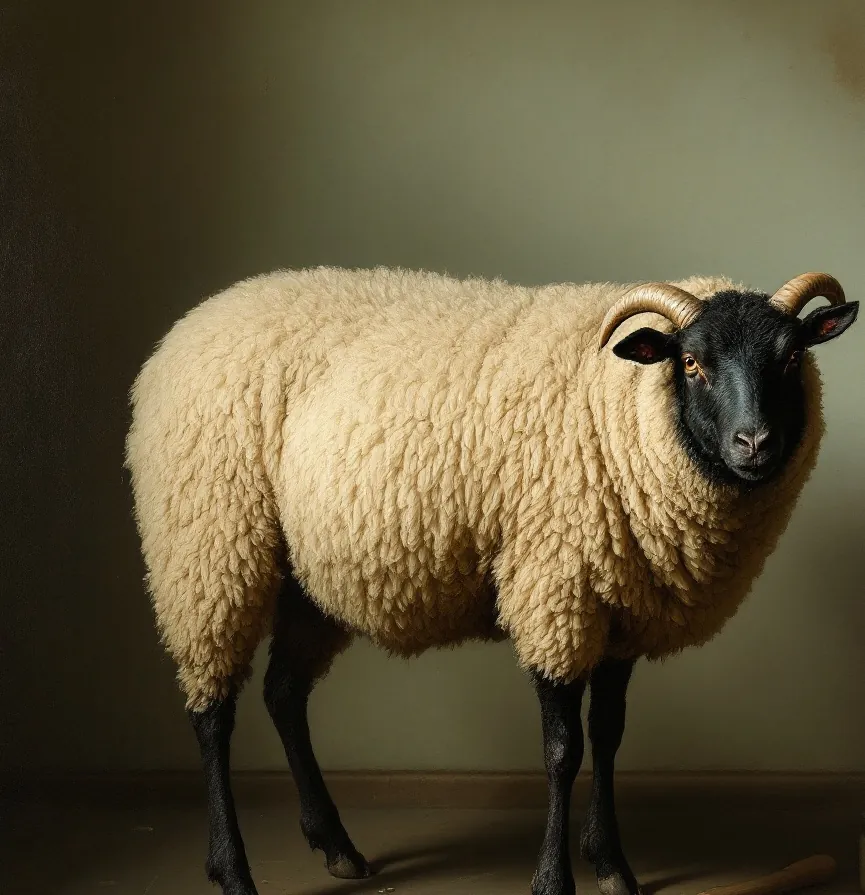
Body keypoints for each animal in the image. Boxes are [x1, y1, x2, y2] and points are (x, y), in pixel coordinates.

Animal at [125, 267, 857, 895]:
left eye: (789, 359)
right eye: (691, 363)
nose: (754, 443)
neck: (619, 409)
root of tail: (184, 329)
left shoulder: (622, 601)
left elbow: (609, 735)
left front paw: (612, 865)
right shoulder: (554, 588)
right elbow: (562, 750)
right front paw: (553, 878)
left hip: (305, 577)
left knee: (282, 693)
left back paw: (335, 844)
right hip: (206, 544)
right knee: (212, 713)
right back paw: (232, 870)